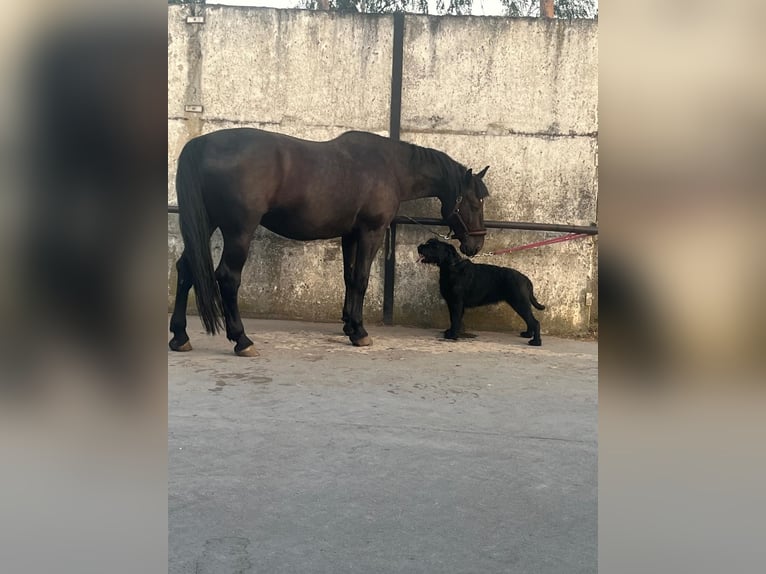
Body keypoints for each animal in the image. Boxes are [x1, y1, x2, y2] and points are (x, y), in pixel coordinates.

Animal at [169, 128, 489, 356]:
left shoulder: (350, 234)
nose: (475, 246)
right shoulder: (371, 232)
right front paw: (359, 333)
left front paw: (348, 324)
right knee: (227, 277)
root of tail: (201, 145)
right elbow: (361, 279)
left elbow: (349, 277)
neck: (389, 167)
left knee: (186, 269)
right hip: (239, 231)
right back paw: (242, 340)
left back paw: (180, 336)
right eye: (475, 203)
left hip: (206, 223)